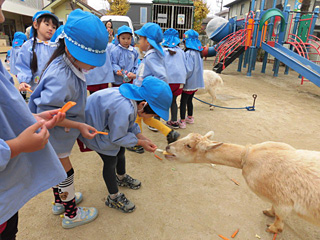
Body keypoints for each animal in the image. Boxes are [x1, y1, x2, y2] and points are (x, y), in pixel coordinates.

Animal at [165, 132, 320, 233]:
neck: (246, 157)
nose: (168, 147)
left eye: (189, 145)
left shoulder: (283, 200)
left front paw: (273, 228)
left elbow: (279, 216)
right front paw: (269, 212)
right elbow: (274, 210)